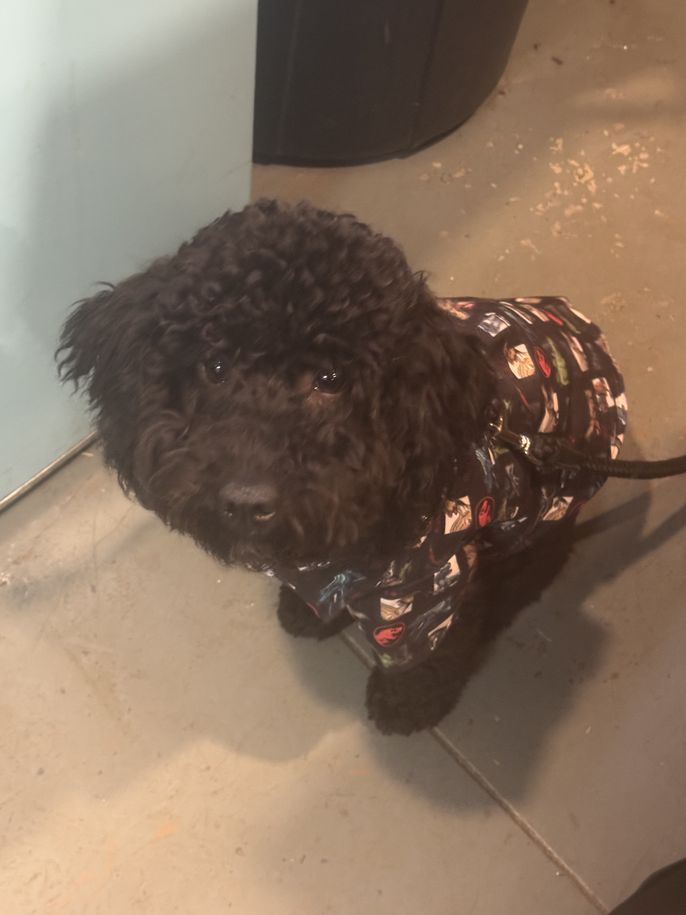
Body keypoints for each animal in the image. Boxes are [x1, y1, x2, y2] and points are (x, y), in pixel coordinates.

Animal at [57, 199, 626, 734]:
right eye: (215, 366)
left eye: (331, 379)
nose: (245, 503)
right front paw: (306, 611)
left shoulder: (429, 589)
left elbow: (426, 659)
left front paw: (407, 707)